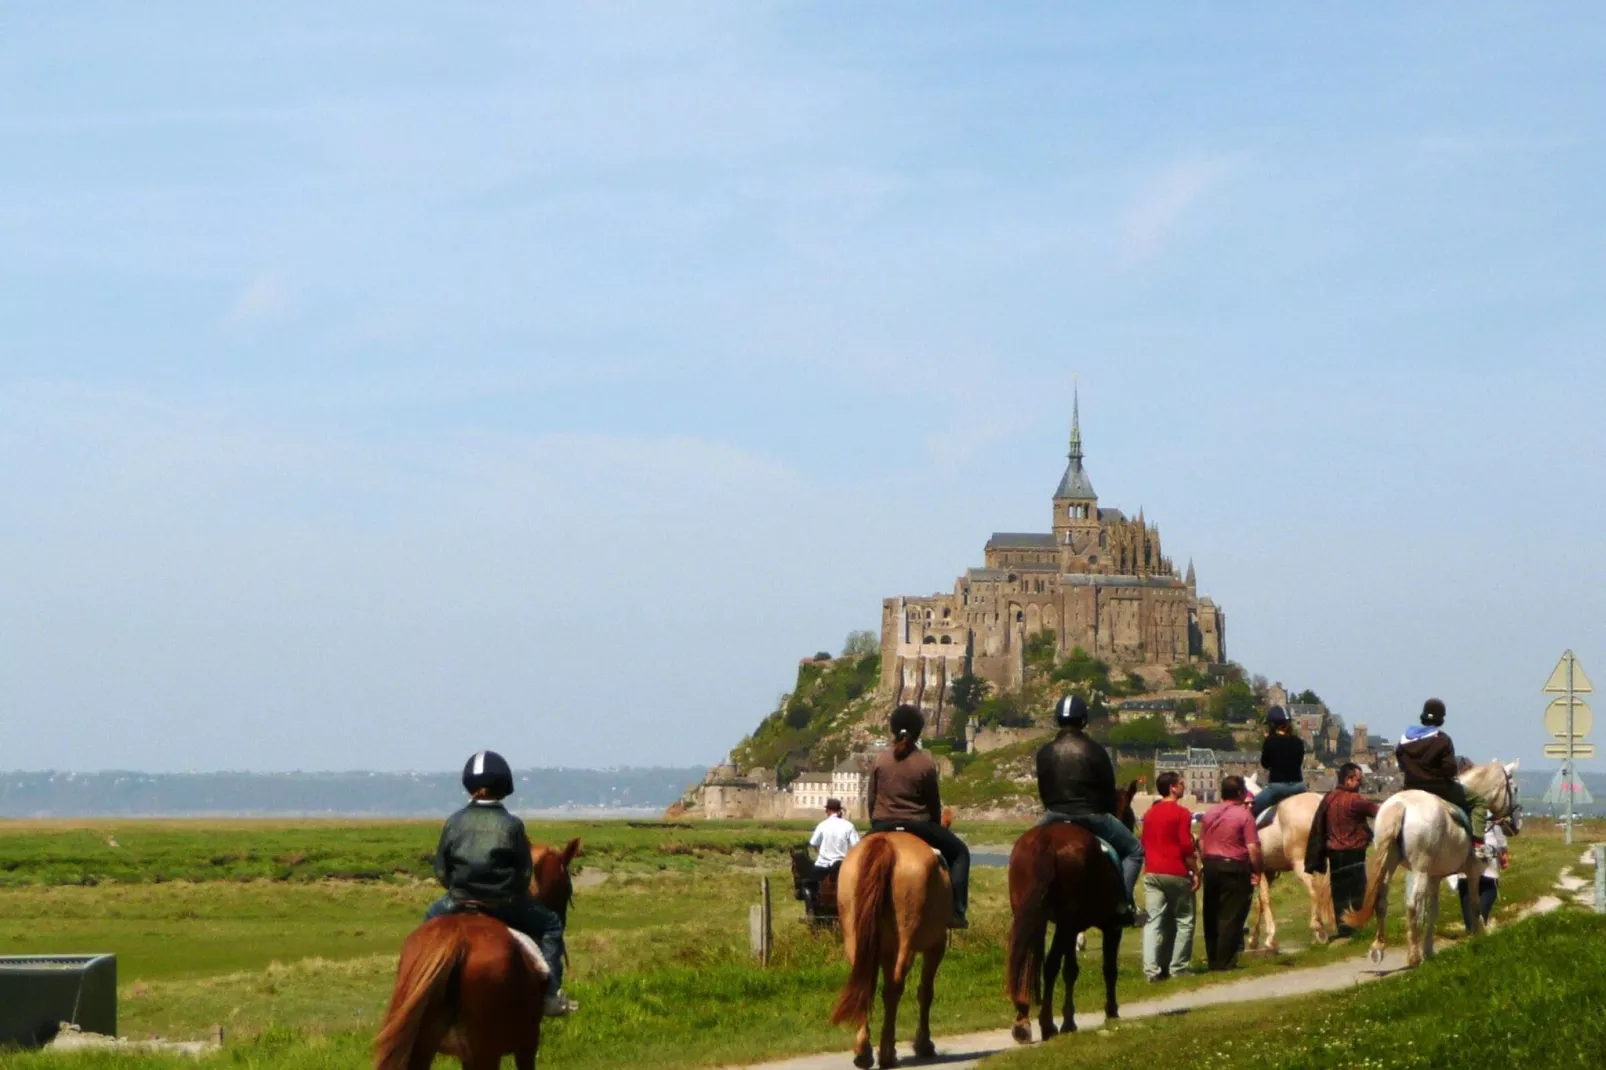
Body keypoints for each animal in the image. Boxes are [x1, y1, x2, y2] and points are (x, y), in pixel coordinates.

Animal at [828, 812, 950, 1060]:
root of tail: (886, 843)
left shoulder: (884, 949)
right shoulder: (936, 944)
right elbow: (926, 991)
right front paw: (923, 1044)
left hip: (857, 939)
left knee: (865, 983)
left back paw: (864, 1052)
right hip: (906, 942)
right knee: (895, 986)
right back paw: (887, 1052)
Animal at [1002, 780, 1143, 1034]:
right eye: (1129, 814)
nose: (1132, 828)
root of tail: (1048, 840)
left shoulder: (1072, 928)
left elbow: (1070, 970)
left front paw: (1069, 1019)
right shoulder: (1111, 927)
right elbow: (1109, 968)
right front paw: (1111, 1011)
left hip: (1033, 917)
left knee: (1029, 961)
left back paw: (1024, 1020)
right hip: (1065, 922)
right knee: (1050, 965)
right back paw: (1046, 1023)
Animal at [1342, 758, 1516, 963]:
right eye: (1514, 788)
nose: (1514, 825)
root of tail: (1401, 805)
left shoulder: (1435, 876)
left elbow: (1432, 911)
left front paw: (1429, 949)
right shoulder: (1472, 873)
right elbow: (1474, 904)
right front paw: (1479, 937)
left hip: (1390, 864)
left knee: (1381, 901)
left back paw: (1378, 948)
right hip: (1420, 869)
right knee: (1411, 906)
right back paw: (1414, 956)